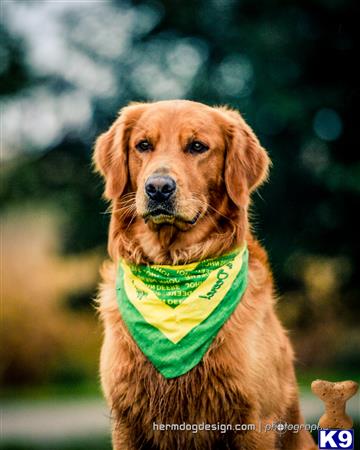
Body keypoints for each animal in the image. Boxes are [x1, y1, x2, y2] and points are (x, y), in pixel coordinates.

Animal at [94, 100, 316, 448]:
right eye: (143, 145)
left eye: (197, 146)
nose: (158, 188)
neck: (174, 269)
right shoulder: (125, 421)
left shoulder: (255, 421)